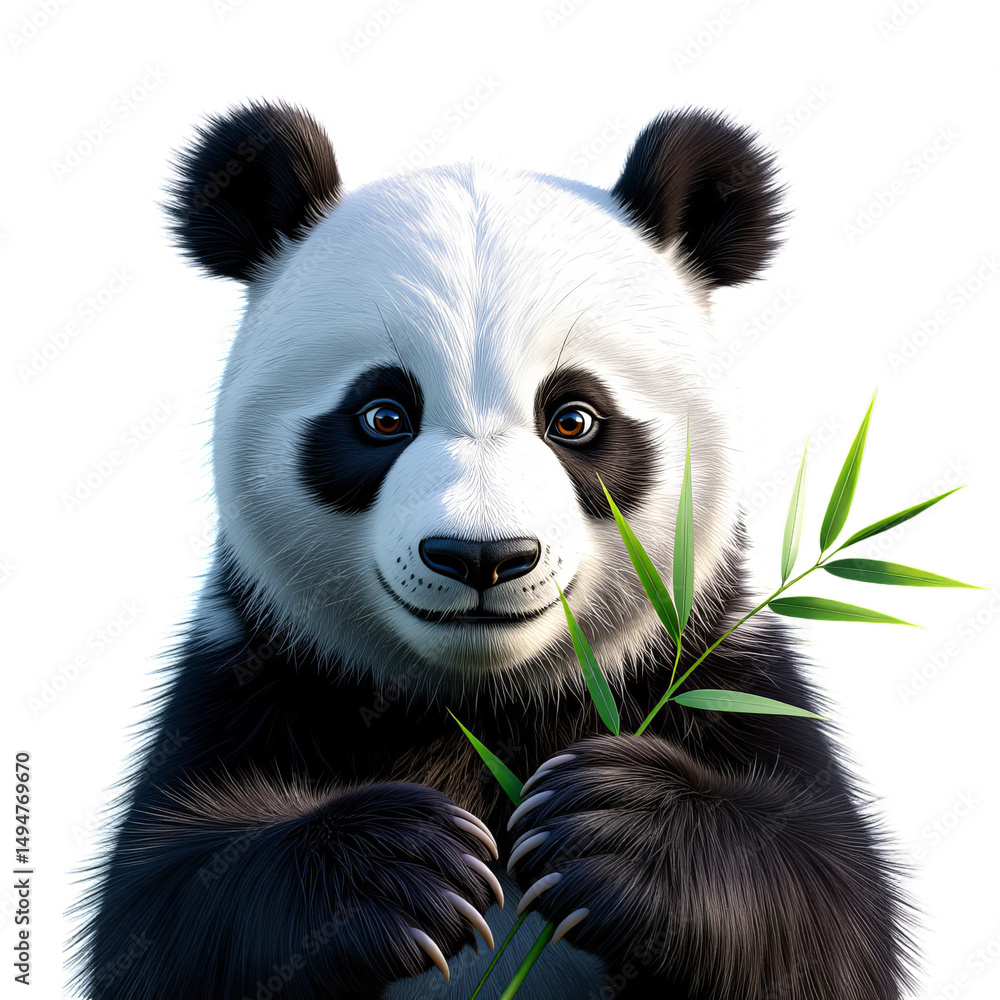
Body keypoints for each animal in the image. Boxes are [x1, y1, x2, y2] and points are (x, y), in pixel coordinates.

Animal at [74, 101, 914, 999]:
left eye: (574, 418)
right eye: (382, 414)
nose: (483, 557)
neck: (483, 701)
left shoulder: (709, 657)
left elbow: (829, 904)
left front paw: (609, 827)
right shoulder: (257, 667)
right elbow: (166, 905)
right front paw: (404, 868)